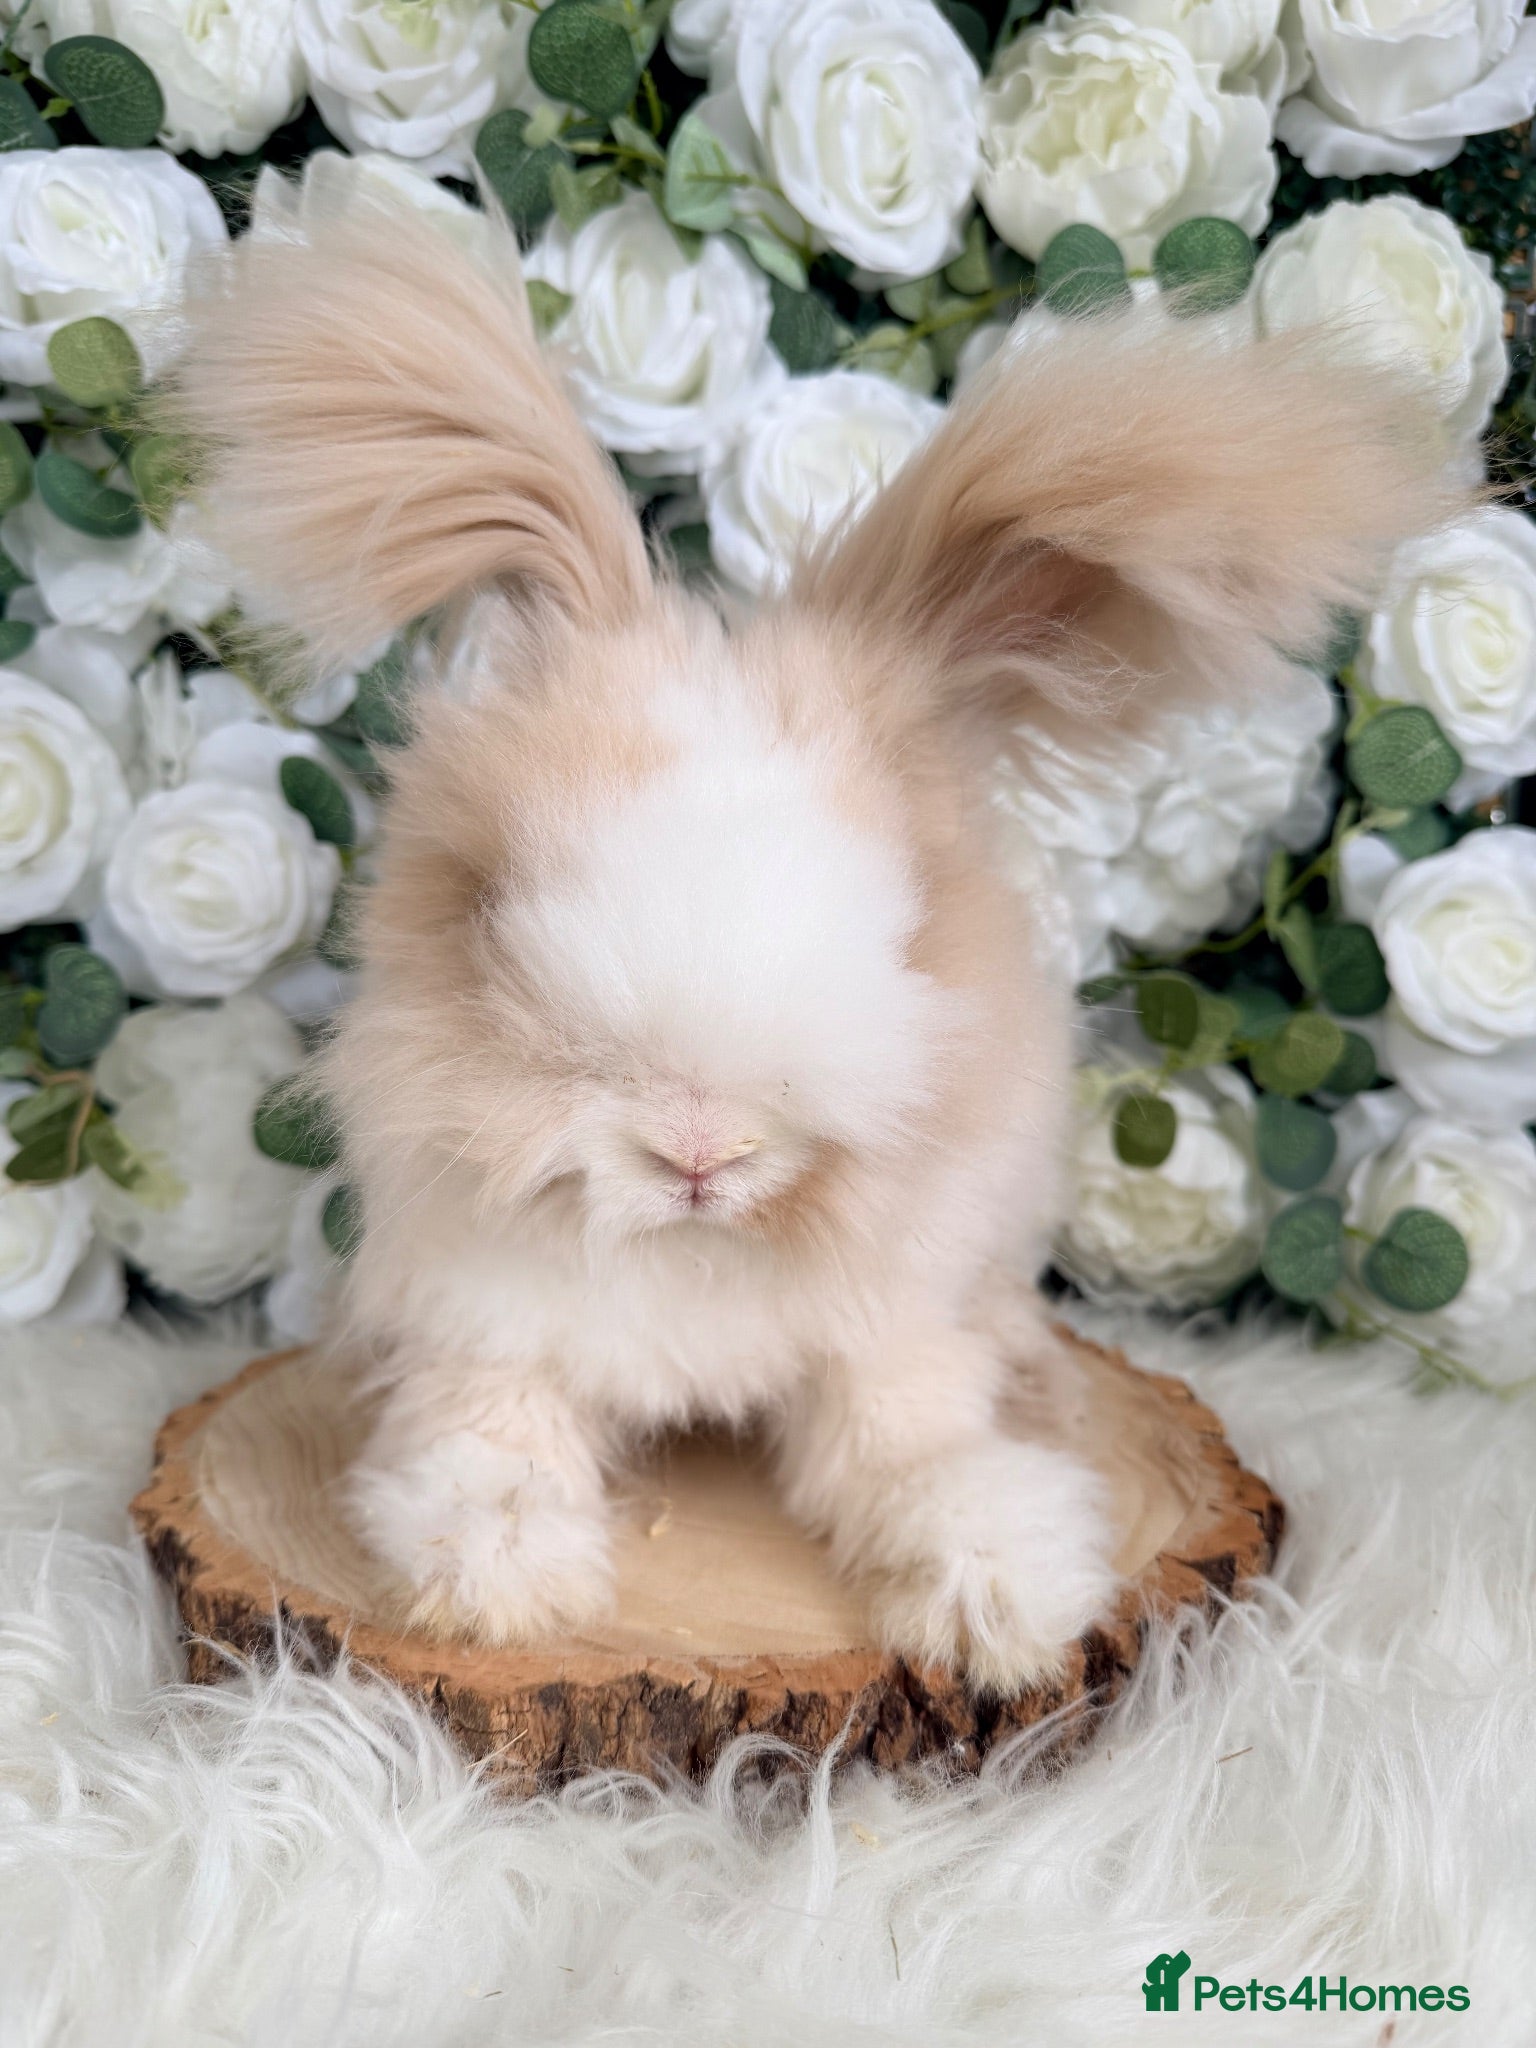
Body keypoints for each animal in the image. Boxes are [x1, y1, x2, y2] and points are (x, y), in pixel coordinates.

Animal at [174, 195, 1456, 1691]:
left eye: (907, 920)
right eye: (498, 911)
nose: (698, 1153)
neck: (703, 1253)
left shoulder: (892, 1336)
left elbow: (916, 1448)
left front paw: (1002, 1600)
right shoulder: (483, 1329)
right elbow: (488, 1448)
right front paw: (499, 1589)